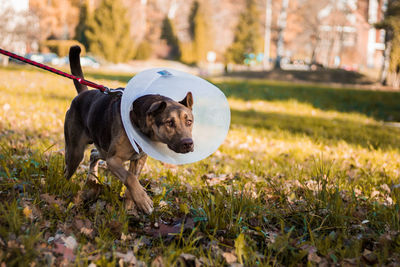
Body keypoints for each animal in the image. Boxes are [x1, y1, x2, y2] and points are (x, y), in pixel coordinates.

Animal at [64, 46, 194, 216]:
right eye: (169, 123)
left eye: (189, 121)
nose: (188, 144)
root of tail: (82, 95)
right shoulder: (114, 160)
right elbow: (130, 179)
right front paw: (144, 201)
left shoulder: (138, 159)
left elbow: (132, 181)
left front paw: (129, 209)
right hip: (76, 152)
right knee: (68, 169)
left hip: (103, 149)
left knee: (93, 154)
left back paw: (92, 179)